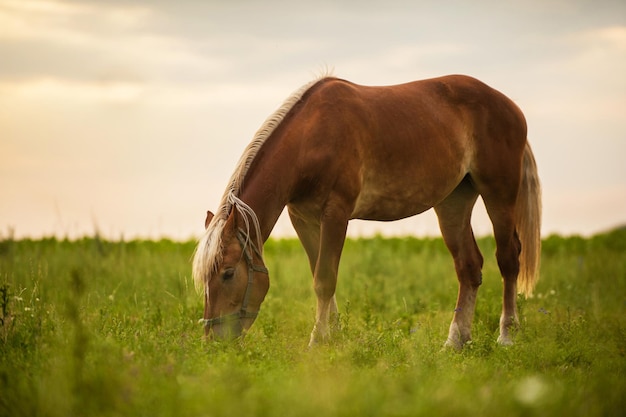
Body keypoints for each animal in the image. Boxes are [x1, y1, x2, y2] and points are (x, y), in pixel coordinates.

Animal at [193, 74, 540, 348]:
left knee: (508, 259)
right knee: (468, 267)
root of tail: (510, 107)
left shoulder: (336, 213)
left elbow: (324, 279)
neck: (312, 138)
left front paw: (317, 342)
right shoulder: (303, 219)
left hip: (499, 194)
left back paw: (507, 336)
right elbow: (319, 275)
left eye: (227, 273)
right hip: (453, 202)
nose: (213, 341)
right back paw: (455, 342)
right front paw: (334, 338)